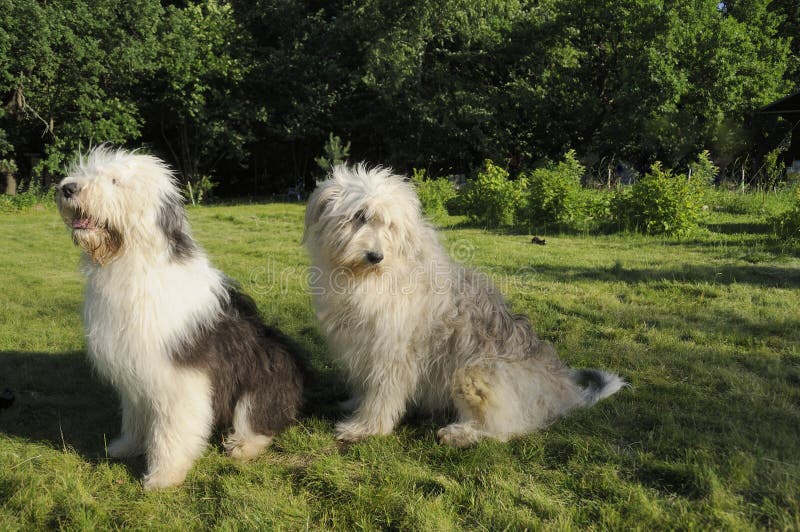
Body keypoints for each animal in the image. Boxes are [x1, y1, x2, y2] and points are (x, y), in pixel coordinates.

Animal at [55, 148, 306, 488]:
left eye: (115, 180)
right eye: (85, 172)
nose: (67, 188)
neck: (131, 262)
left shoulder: (179, 377)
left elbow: (171, 430)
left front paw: (164, 475)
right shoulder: (136, 369)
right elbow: (136, 415)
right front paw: (127, 445)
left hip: (266, 371)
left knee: (261, 418)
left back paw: (243, 445)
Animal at [304, 164, 624, 446]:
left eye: (390, 225)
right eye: (359, 216)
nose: (375, 256)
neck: (368, 277)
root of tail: (562, 389)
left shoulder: (393, 351)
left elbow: (382, 393)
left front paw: (366, 428)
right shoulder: (363, 346)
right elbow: (364, 384)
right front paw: (354, 405)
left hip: (474, 375)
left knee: (505, 428)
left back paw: (460, 434)